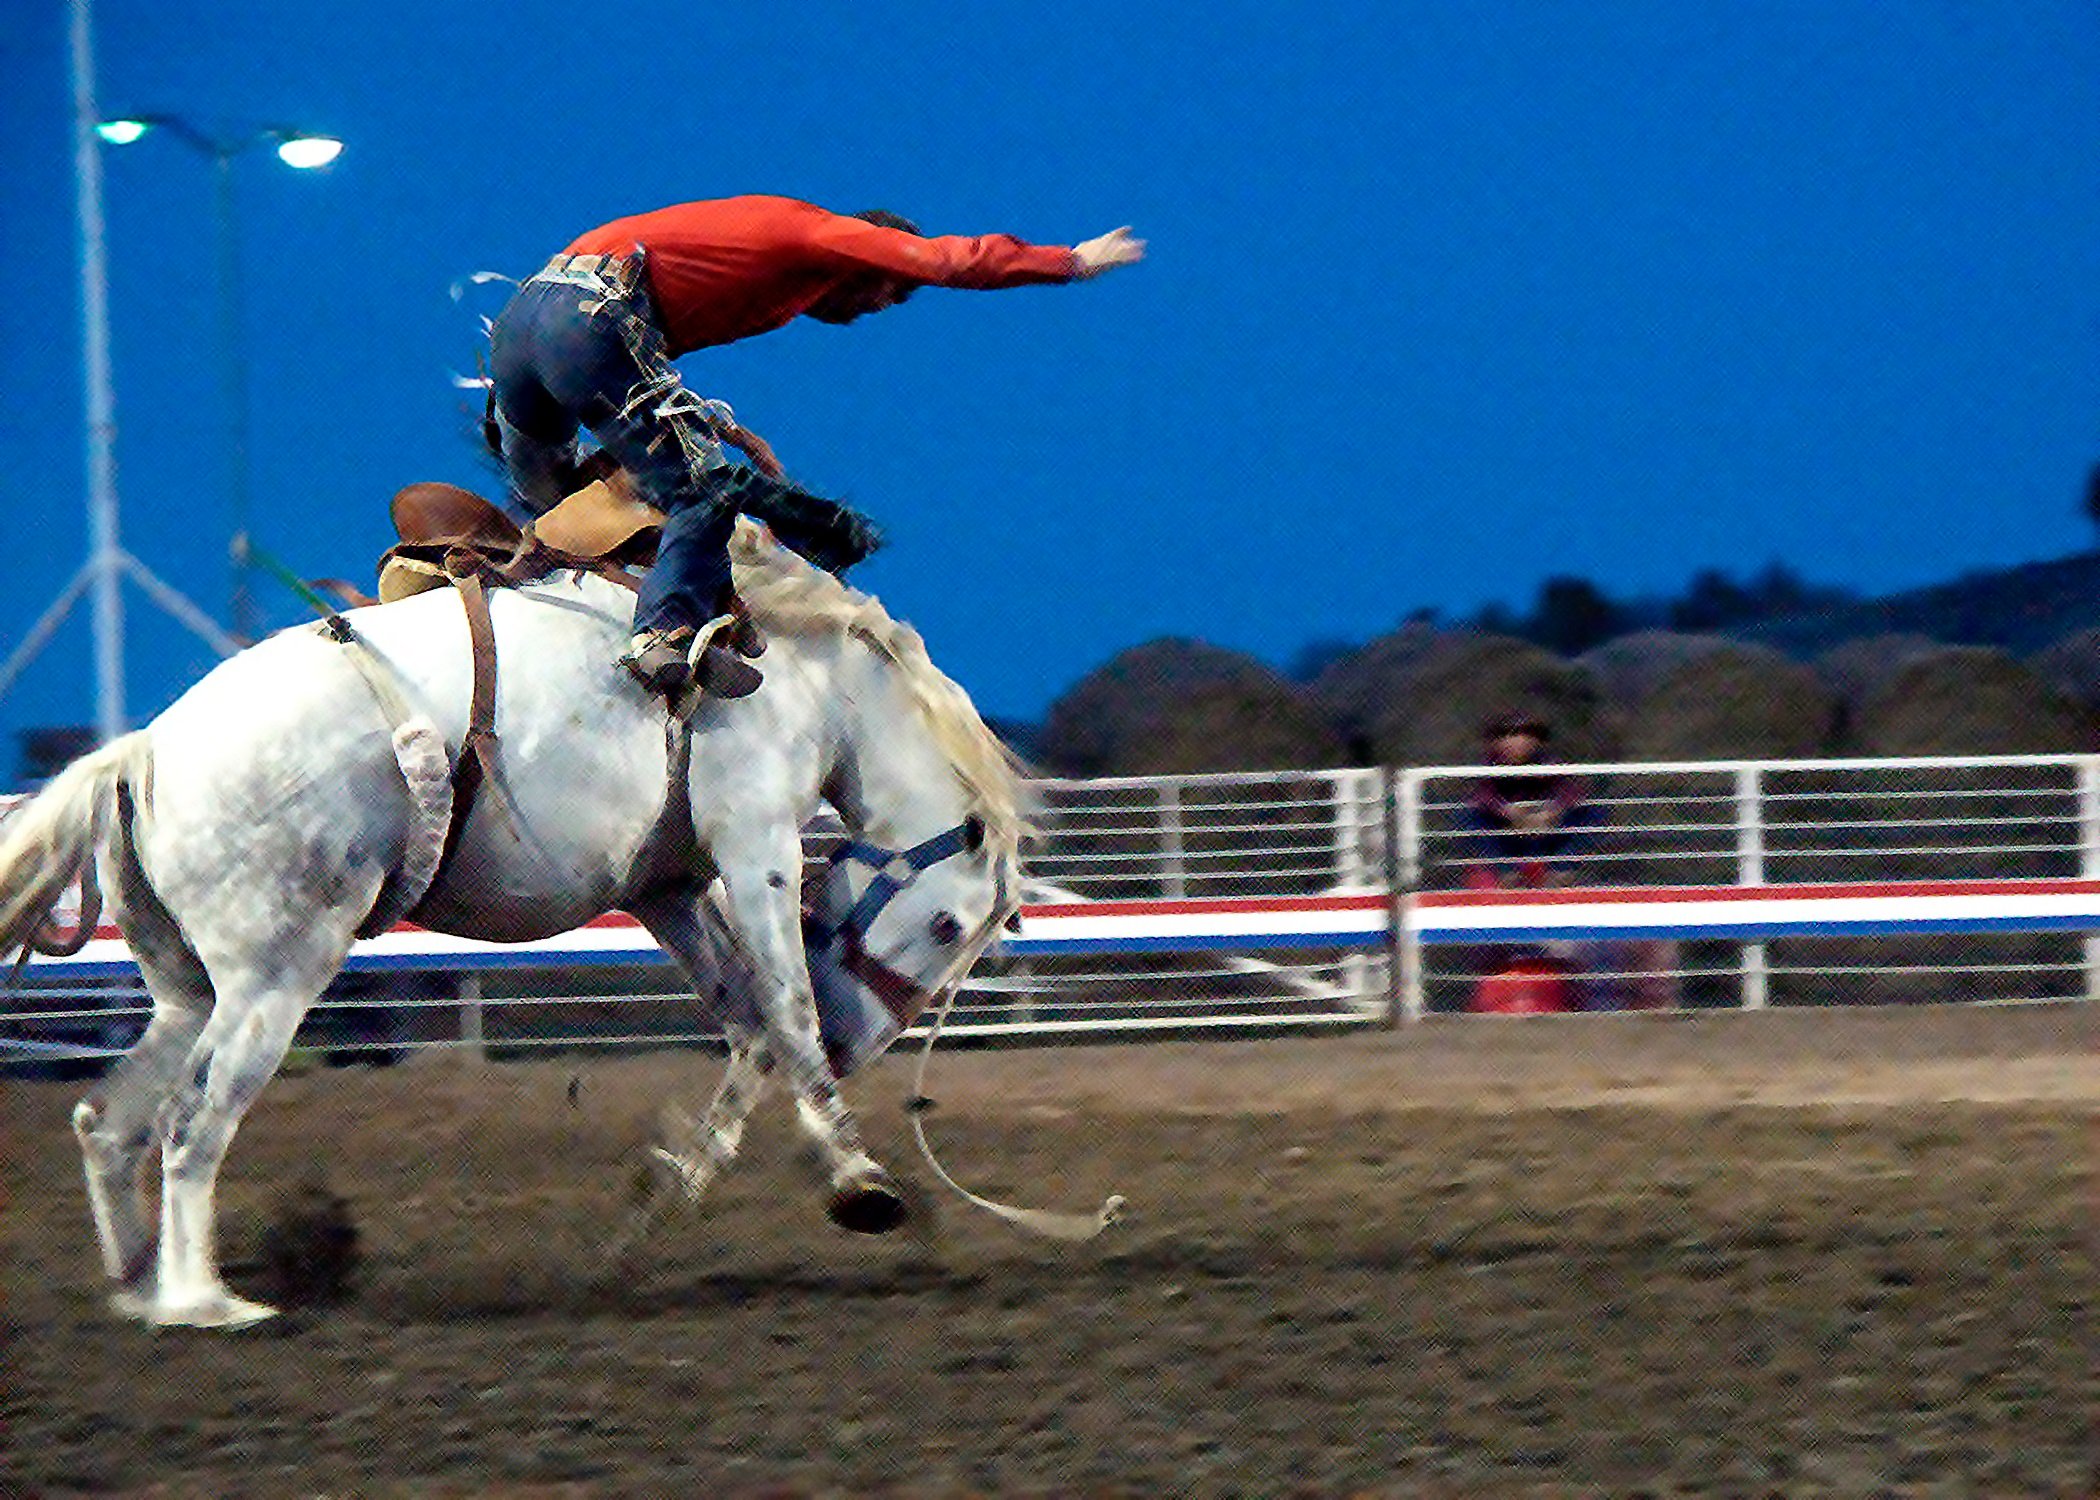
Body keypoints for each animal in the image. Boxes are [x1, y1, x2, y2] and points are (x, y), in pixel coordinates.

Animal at [0, 521, 1033, 1327]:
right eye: (947, 927)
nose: (861, 1046)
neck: (806, 674)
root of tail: (143, 752)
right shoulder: (756, 846)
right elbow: (787, 1013)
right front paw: (861, 1183)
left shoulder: (666, 887)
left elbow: (747, 1025)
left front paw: (666, 1196)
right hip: (273, 980)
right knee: (190, 1122)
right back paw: (204, 1302)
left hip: (189, 991)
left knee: (111, 1123)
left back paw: (140, 1289)